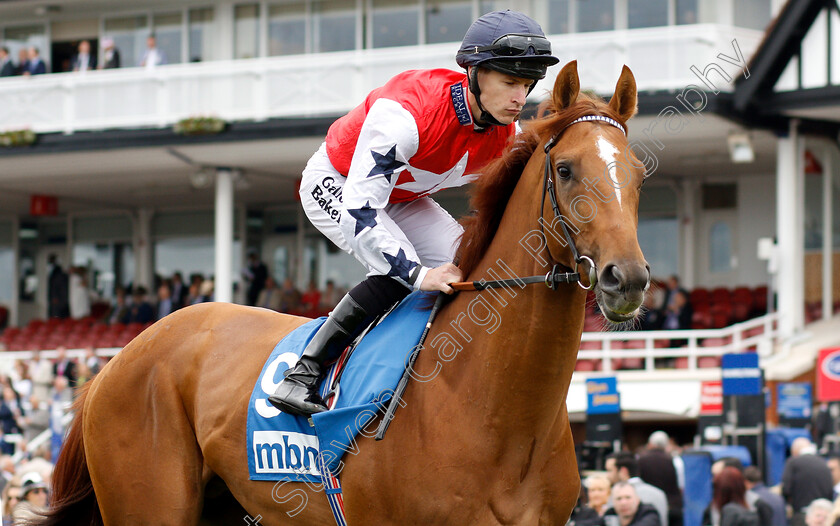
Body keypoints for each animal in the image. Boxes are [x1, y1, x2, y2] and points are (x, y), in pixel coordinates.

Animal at [36, 59, 648, 524]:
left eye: (639, 174)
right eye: (565, 169)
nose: (628, 279)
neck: (494, 407)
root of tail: (113, 364)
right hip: (151, 502)